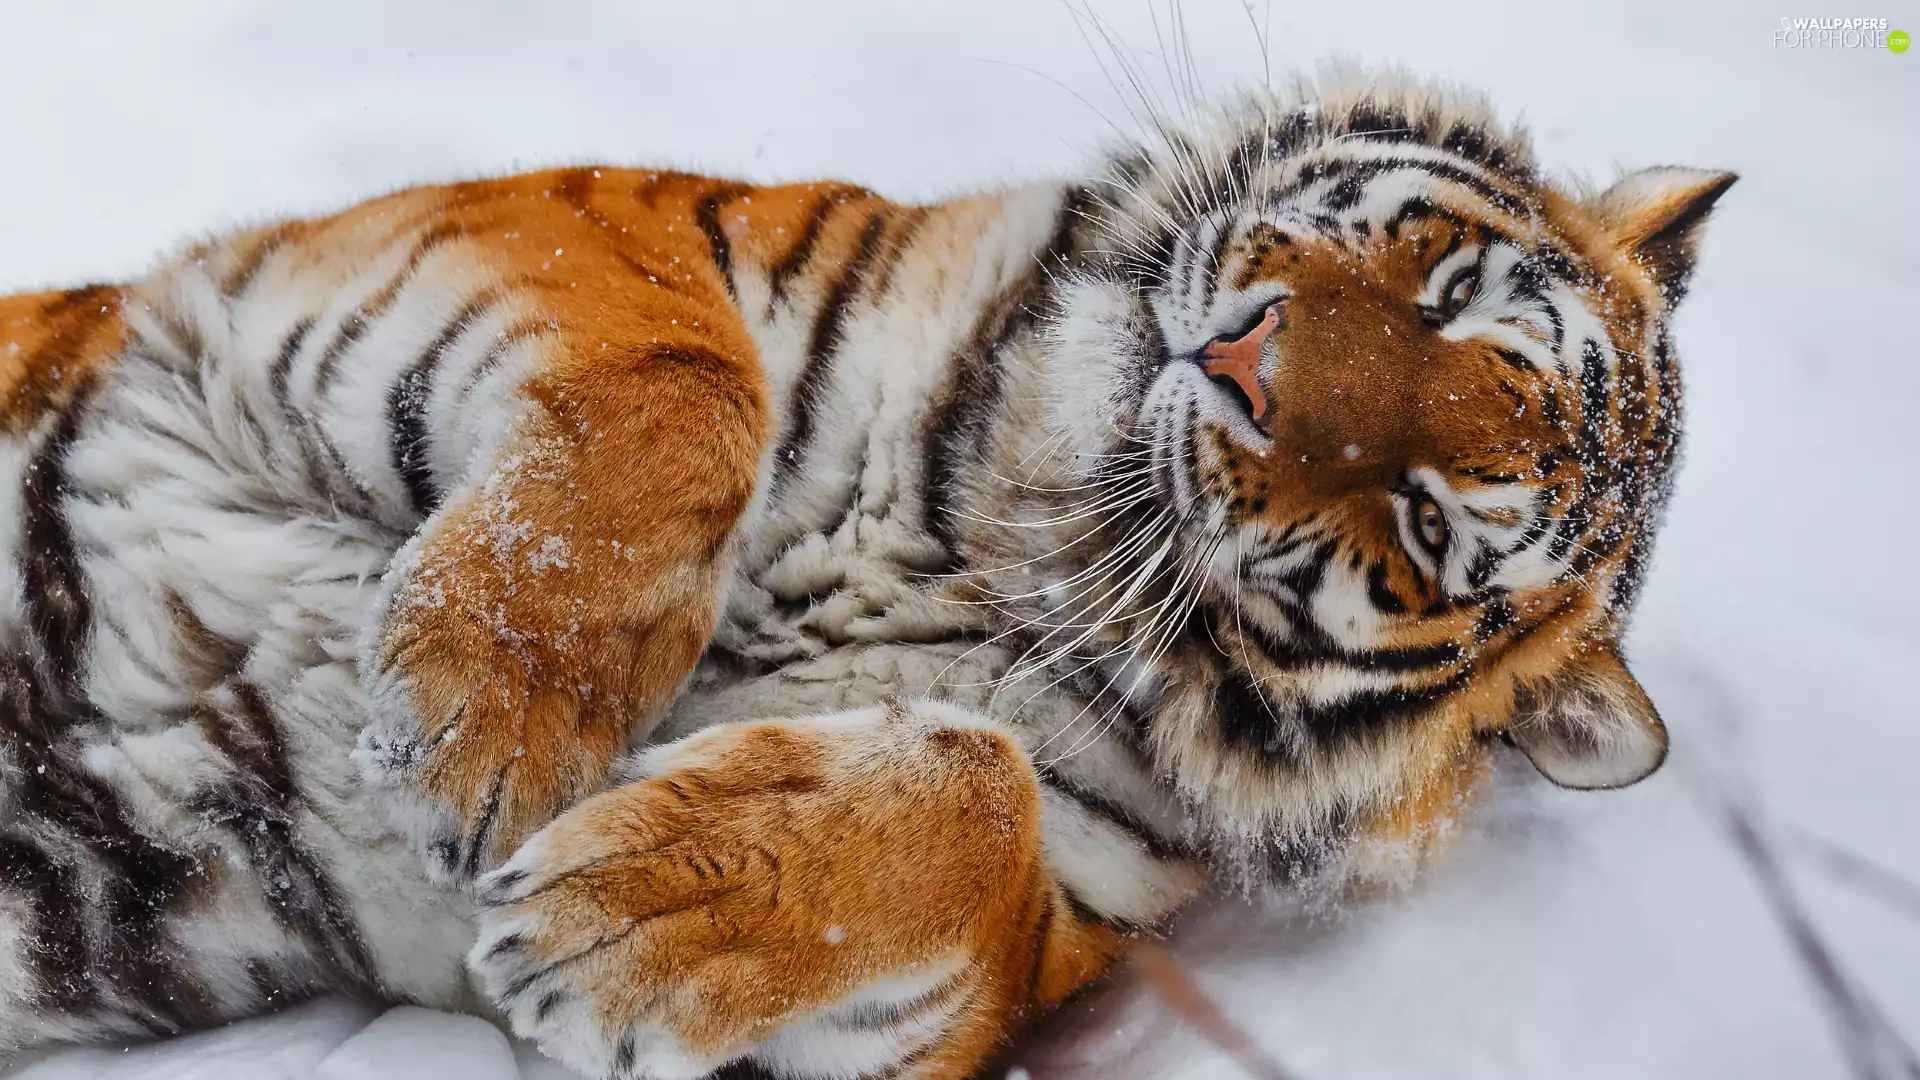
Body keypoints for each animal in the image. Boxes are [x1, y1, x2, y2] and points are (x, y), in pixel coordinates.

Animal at [0, 67, 1732, 1079]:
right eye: (1444, 290)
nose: (1242, 370)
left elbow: (987, 799)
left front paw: (624, 912)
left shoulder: (1048, 942)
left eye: (1429, 525)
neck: (1003, 524)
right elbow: (691, 386)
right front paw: (479, 732)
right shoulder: (535, 237)